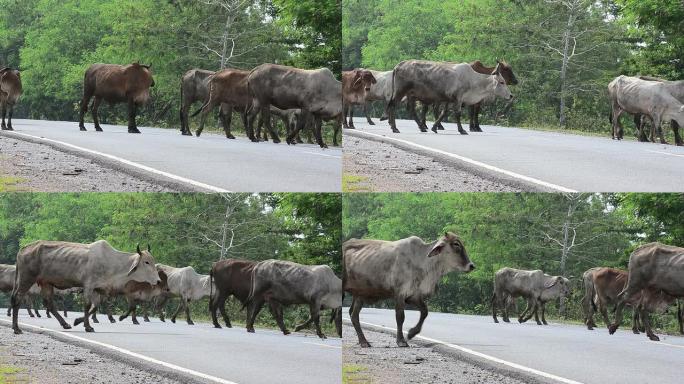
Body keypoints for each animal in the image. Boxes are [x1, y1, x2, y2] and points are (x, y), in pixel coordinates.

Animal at [10, 240, 160, 332]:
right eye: (146, 262)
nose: (158, 281)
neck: (112, 263)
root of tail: (23, 249)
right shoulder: (88, 286)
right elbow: (88, 306)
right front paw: (87, 327)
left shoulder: (100, 289)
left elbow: (95, 307)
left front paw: (77, 321)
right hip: (26, 279)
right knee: (17, 298)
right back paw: (16, 328)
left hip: (46, 283)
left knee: (49, 303)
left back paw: (65, 324)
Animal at [344, 231, 472, 348]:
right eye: (456, 244)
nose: (471, 265)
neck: (421, 260)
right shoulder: (400, 294)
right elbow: (400, 317)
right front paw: (401, 341)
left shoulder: (414, 295)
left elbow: (424, 311)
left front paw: (411, 333)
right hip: (357, 294)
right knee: (354, 315)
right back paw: (364, 342)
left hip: (357, 296)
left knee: (351, 313)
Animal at [384, 59, 512, 133]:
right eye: (502, 82)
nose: (511, 96)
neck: (472, 80)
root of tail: (398, 66)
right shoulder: (458, 99)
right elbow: (457, 114)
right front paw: (462, 130)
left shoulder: (450, 100)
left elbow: (443, 113)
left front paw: (434, 127)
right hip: (401, 92)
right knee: (393, 106)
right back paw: (395, 128)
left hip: (410, 95)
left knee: (410, 110)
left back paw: (421, 127)